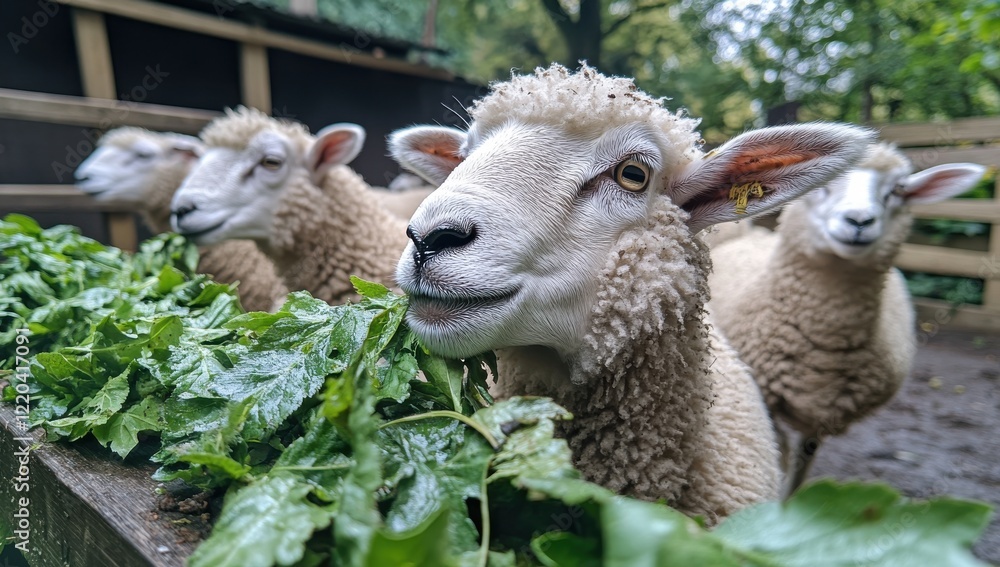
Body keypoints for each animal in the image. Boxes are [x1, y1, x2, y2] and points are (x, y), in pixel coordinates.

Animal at [707, 142, 987, 492]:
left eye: (897, 190)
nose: (859, 221)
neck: (825, 340)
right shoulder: (766, 401)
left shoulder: (823, 420)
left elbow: (799, 469)